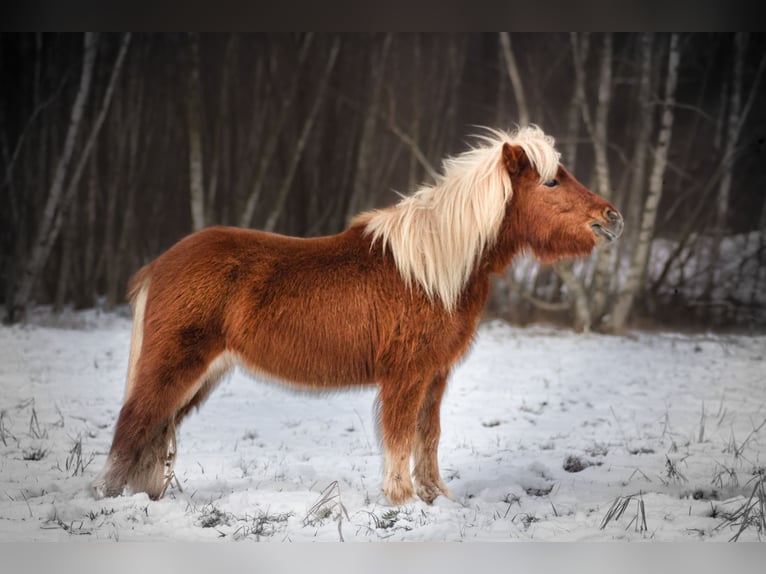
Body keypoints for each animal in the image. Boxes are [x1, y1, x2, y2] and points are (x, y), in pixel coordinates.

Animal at [92, 125, 623, 505]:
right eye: (552, 180)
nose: (611, 218)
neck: (431, 268)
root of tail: (161, 264)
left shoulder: (435, 375)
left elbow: (428, 435)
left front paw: (436, 497)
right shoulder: (406, 376)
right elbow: (400, 435)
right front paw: (402, 499)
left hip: (200, 376)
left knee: (153, 431)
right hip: (175, 367)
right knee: (133, 425)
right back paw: (111, 499)